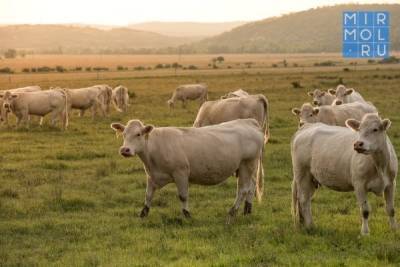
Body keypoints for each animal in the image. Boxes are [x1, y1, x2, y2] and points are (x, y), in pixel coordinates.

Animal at [111, 119, 264, 220]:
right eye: (124, 134)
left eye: (138, 134)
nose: (125, 150)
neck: (154, 148)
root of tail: (249, 122)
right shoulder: (151, 175)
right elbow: (148, 195)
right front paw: (143, 213)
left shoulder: (181, 173)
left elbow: (183, 195)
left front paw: (187, 214)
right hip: (249, 167)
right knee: (251, 187)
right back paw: (247, 210)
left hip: (246, 164)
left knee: (243, 190)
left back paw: (232, 211)